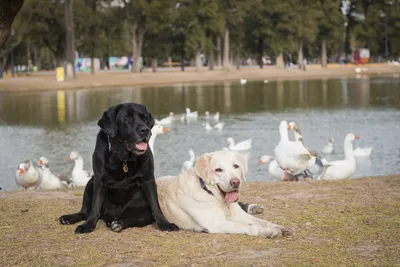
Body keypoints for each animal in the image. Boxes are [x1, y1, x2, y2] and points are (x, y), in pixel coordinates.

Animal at [59, 102, 178, 234]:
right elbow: (95, 207)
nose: (145, 130)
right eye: (127, 119)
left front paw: (165, 223)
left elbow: (155, 206)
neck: (123, 158)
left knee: (138, 217)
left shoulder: (148, 179)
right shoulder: (99, 180)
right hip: (90, 183)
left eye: (144, 118)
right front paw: (88, 225)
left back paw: (118, 223)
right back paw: (69, 218)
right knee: (85, 212)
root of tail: (111, 216)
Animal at [157, 151, 294, 239]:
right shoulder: (217, 223)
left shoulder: (240, 215)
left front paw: (278, 227)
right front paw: (268, 232)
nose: (235, 182)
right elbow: (248, 226)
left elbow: (261, 221)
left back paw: (254, 207)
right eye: (218, 170)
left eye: (236, 166)